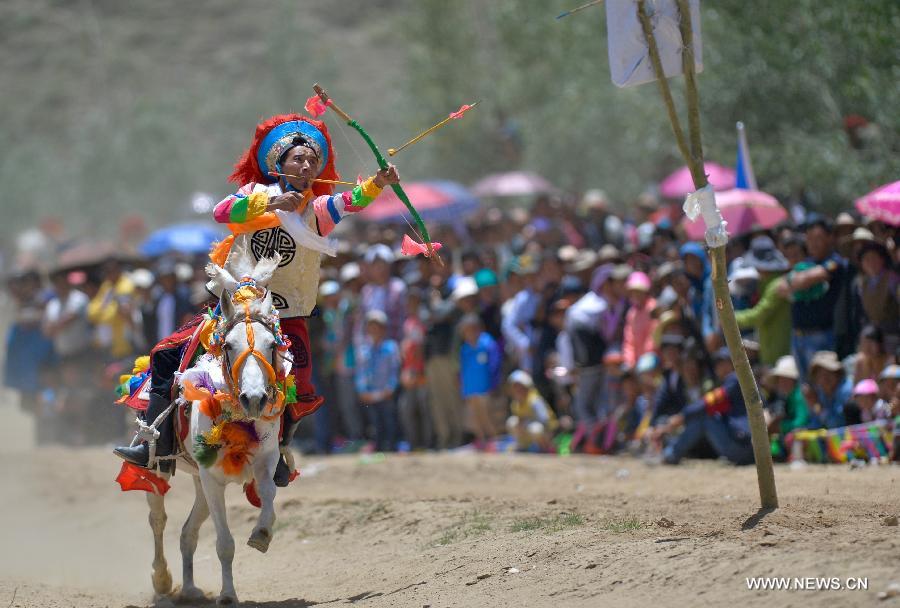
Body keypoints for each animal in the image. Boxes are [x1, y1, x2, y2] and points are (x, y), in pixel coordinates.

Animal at [145, 248, 288, 608]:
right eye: (228, 346)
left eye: (271, 345)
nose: (255, 398)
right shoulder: (213, 479)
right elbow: (224, 544)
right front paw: (227, 595)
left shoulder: (264, 461)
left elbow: (268, 494)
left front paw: (262, 534)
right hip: (160, 469)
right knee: (158, 519)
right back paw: (163, 583)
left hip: (199, 481)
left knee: (188, 532)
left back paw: (190, 589)